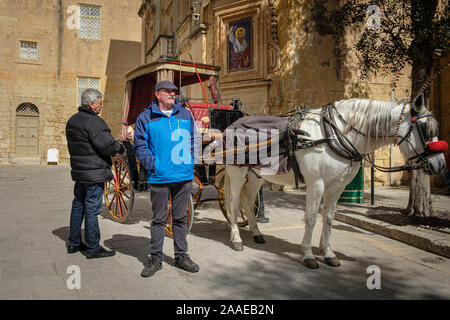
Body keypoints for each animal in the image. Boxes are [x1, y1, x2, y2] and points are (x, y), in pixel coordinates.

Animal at [221, 95, 446, 268]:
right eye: (425, 128)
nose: (440, 164)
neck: (334, 135)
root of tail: (233, 125)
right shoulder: (316, 184)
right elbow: (311, 218)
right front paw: (309, 254)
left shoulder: (337, 187)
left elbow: (329, 218)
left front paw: (328, 253)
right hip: (236, 172)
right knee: (233, 203)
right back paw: (236, 238)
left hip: (256, 175)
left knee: (247, 201)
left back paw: (257, 233)